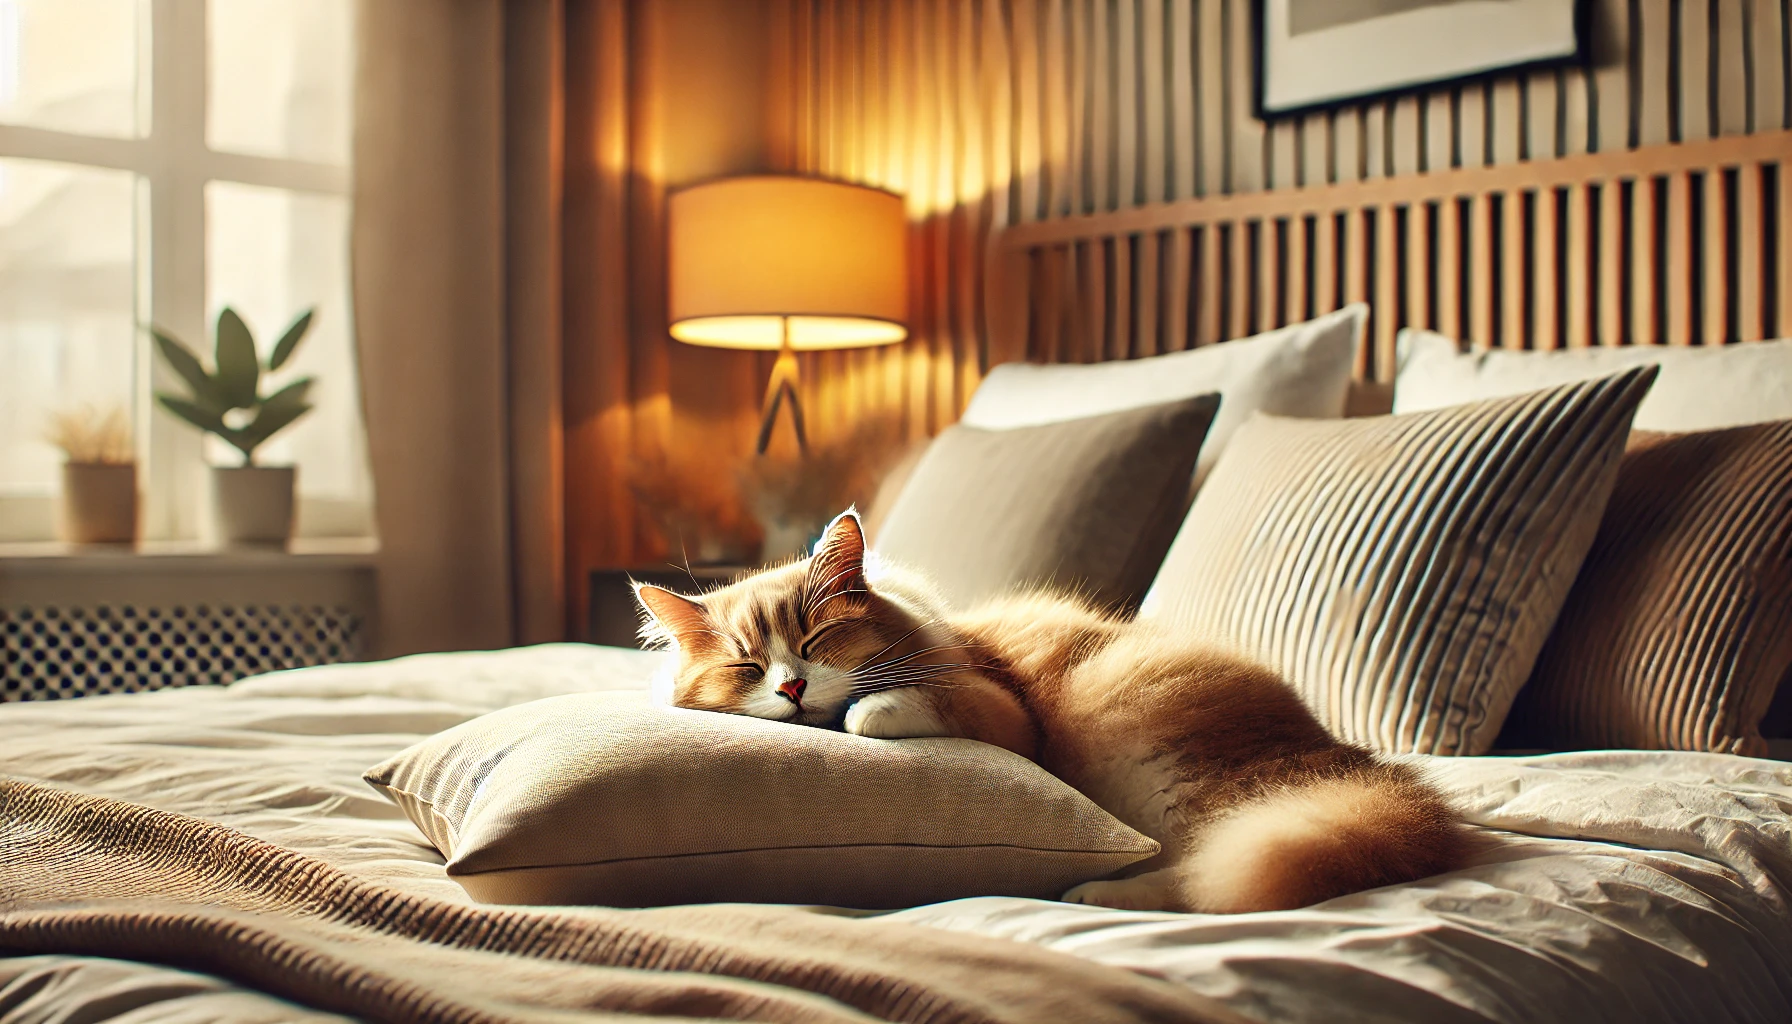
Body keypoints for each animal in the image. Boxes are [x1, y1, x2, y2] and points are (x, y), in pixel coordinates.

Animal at [637, 512, 1476, 914]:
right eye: (747, 667)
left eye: (816, 640)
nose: (790, 689)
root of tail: (1358, 761)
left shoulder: (1002, 709)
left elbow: (876, 712)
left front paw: (855, 712)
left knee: (1214, 873)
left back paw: (1097, 896)